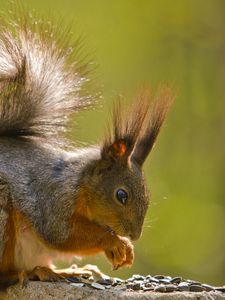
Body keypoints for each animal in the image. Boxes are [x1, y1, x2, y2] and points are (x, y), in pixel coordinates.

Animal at [0, 12, 174, 288]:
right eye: (121, 195)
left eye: (147, 195)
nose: (134, 235)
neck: (80, 182)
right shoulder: (53, 198)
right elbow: (62, 235)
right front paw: (115, 242)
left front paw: (124, 249)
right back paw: (24, 274)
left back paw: (61, 271)